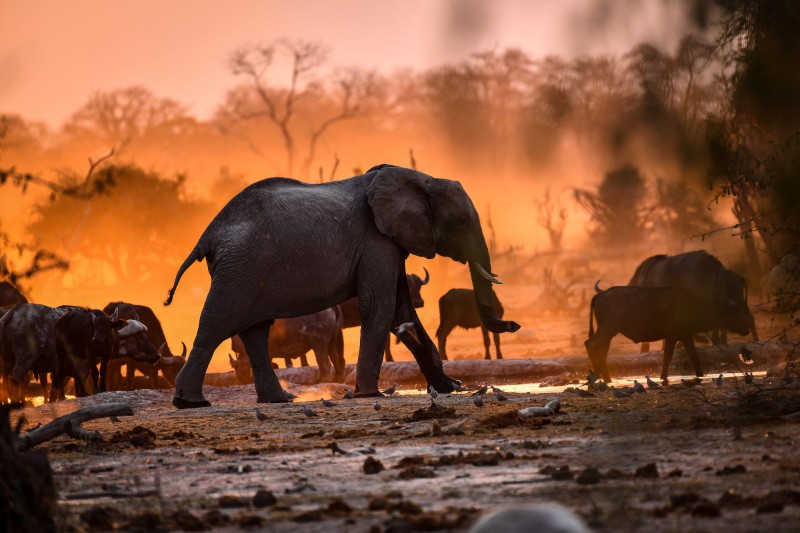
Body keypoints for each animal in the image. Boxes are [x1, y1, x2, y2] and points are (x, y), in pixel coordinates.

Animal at [166, 162, 520, 408]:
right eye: (462, 222)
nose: (514, 325)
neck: (423, 179)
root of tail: (207, 236)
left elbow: (401, 311)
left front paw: (450, 387)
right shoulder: (376, 240)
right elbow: (380, 306)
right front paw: (370, 394)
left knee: (255, 331)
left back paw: (278, 400)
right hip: (239, 270)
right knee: (217, 325)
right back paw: (191, 402)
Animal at [584, 282, 752, 382]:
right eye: (736, 312)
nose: (747, 326)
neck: (694, 305)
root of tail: (600, 295)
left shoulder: (686, 336)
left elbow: (694, 357)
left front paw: (700, 375)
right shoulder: (671, 336)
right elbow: (667, 358)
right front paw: (662, 377)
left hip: (608, 332)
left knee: (601, 350)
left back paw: (605, 378)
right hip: (607, 329)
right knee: (590, 344)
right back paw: (599, 376)